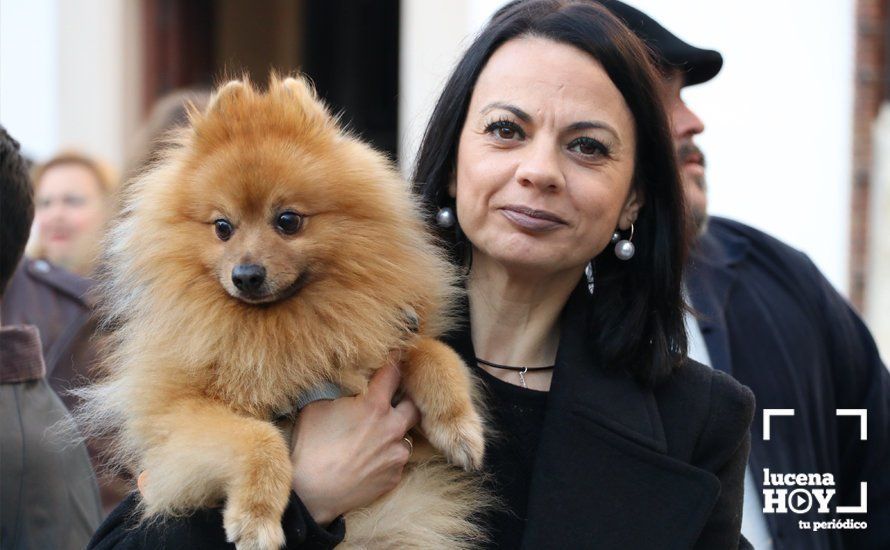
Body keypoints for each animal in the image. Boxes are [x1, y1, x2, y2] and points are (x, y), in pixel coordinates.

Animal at [80, 75, 490, 548]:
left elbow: (433, 352)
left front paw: (460, 426)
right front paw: (256, 518)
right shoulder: (176, 418)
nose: (246, 275)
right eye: (223, 227)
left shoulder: (385, 364)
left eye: (288, 221)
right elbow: (257, 438)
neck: (283, 330)